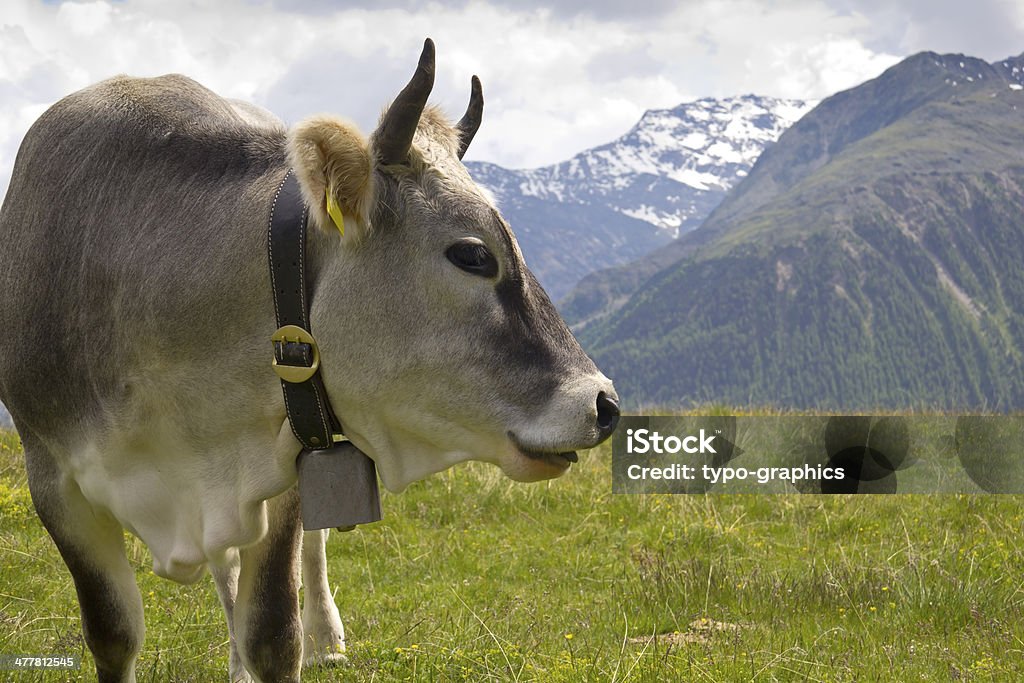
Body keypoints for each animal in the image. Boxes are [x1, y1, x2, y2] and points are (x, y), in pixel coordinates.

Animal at [0, 40, 614, 679]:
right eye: (473, 255)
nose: (604, 403)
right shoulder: (53, 482)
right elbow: (114, 633)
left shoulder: (288, 451)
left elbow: (274, 629)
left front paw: (294, 641)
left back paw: (326, 638)